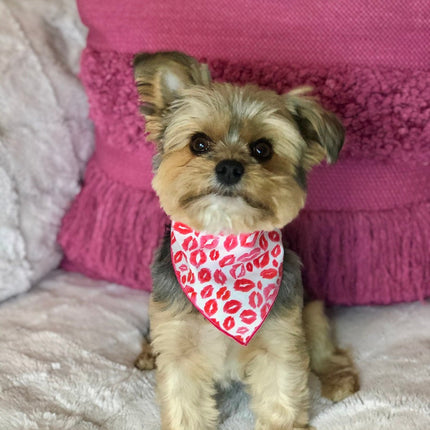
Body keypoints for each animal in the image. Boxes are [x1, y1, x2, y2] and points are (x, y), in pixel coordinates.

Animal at [133, 52, 358, 428]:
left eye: (262, 149)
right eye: (198, 144)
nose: (228, 167)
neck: (226, 247)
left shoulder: (280, 343)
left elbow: (282, 402)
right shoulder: (179, 347)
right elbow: (185, 406)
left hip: (310, 308)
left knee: (325, 348)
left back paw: (339, 378)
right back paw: (147, 354)